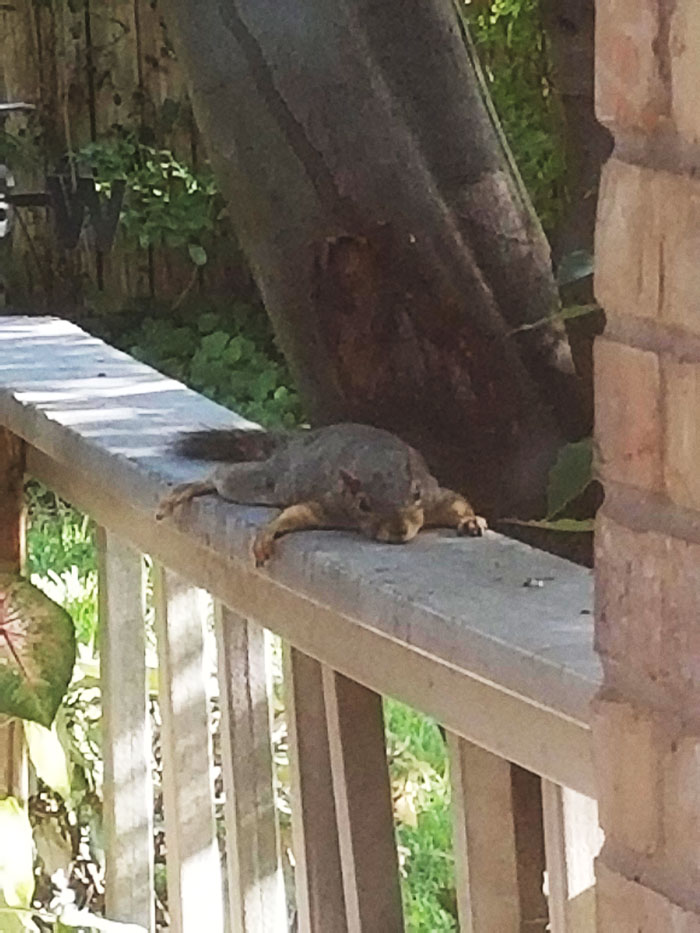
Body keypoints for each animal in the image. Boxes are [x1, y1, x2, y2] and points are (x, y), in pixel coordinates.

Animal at [156, 423, 487, 565]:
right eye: (363, 505)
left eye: (415, 493)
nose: (399, 532)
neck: (378, 463)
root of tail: (292, 443)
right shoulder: (333, 504)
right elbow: (300, 513)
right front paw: (268, 534)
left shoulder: (433, 497)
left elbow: (457, 502)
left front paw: (471, 521)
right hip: (269, 481)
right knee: (222, 477)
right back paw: (190, 488)